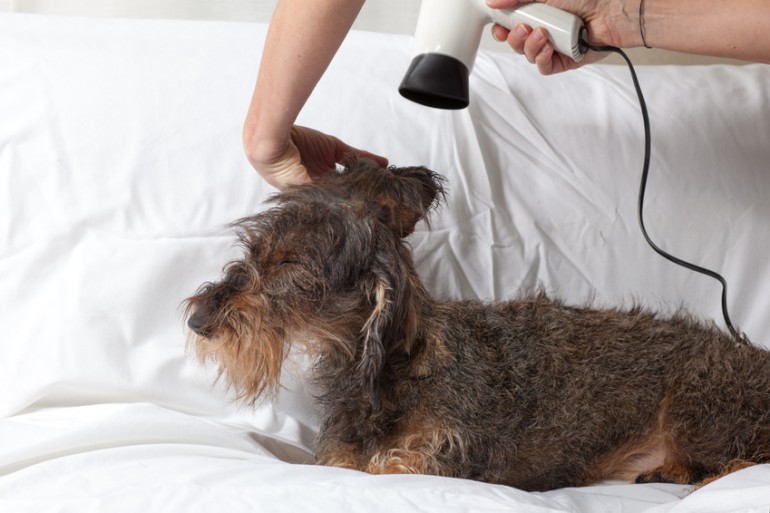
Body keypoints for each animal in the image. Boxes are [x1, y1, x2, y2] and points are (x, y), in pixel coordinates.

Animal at [185, 158, 770, 491]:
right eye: (253, 249)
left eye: (289, 262)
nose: (196, 318)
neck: (391, 370)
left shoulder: (437, 459)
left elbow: (386, 467)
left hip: (697, 405)